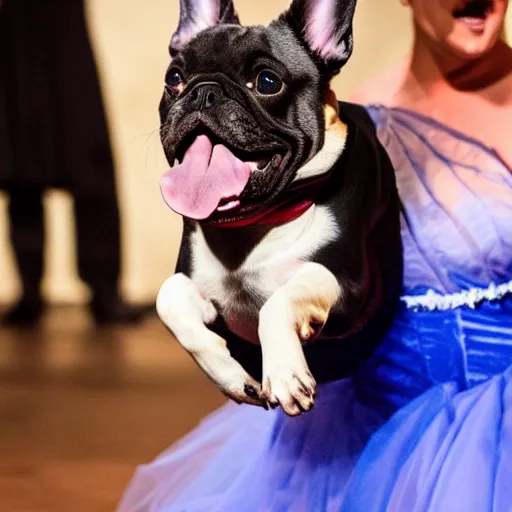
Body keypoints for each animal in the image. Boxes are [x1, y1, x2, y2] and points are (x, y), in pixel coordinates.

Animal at [158, 0, 402, 416]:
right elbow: (168, 296)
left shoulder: (347, 288)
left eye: (268, 82)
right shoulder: (191, 284)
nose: (203, 91)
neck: (257, 222)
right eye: (174, 77)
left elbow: (280, 300)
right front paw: (231, 376)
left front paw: (286, 374)